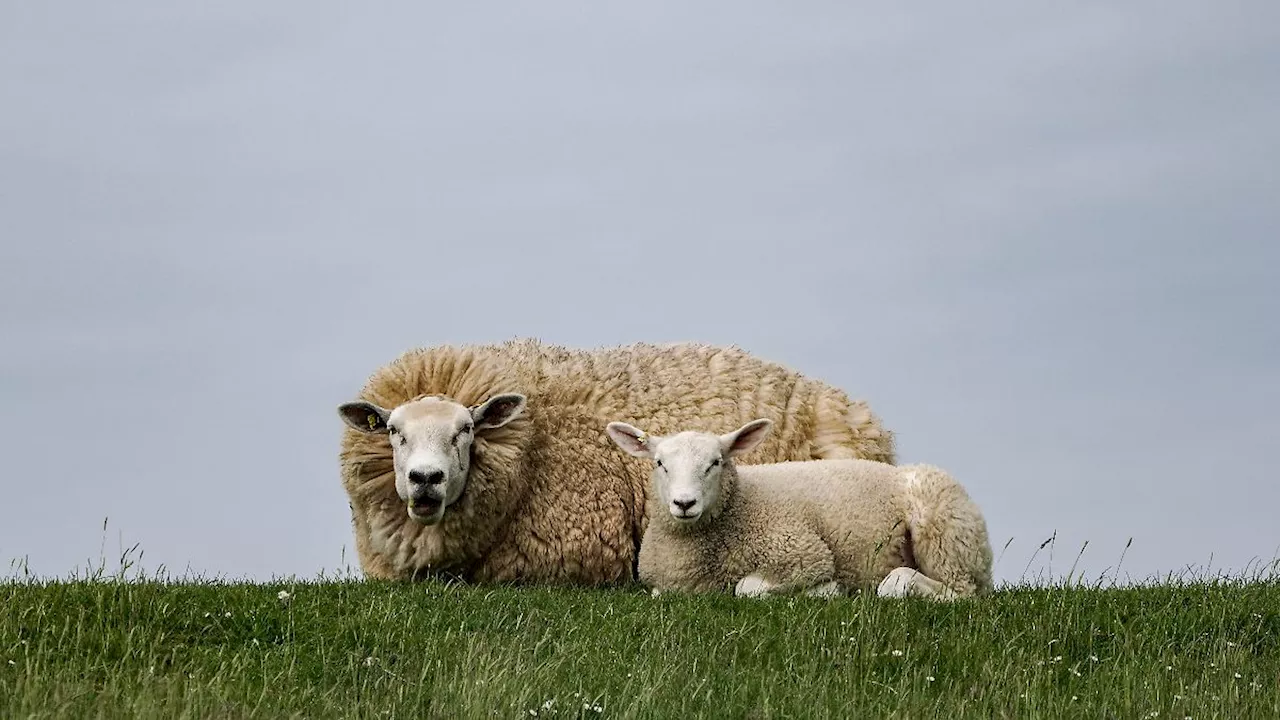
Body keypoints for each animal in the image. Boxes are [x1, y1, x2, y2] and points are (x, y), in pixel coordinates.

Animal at [604, 412, 993, 597]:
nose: (684, 503)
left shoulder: (804, 555)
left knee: (959, 592)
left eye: (716, 462)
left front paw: (828, 590)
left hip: (944, 536)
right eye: (660, 463)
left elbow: (748, 589)